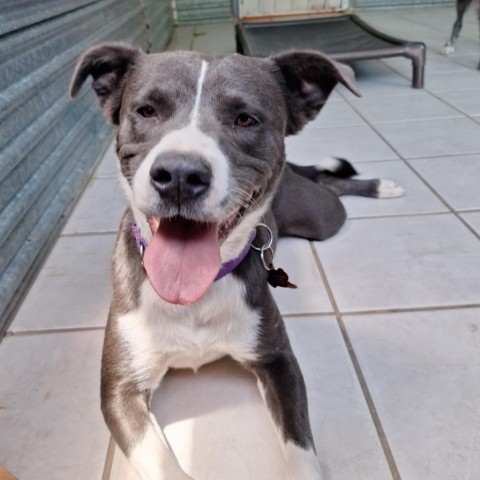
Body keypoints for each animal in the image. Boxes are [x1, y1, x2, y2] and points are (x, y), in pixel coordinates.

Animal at [70, 45, 402, 480]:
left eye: (245, 119)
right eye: (146, 111)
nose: (180, 174)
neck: (197, 294)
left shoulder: (279, 362)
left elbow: (301, 448)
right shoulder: (120, 390)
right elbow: (160, 460)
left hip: (322, 217)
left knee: (332, 184)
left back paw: (381, 186)